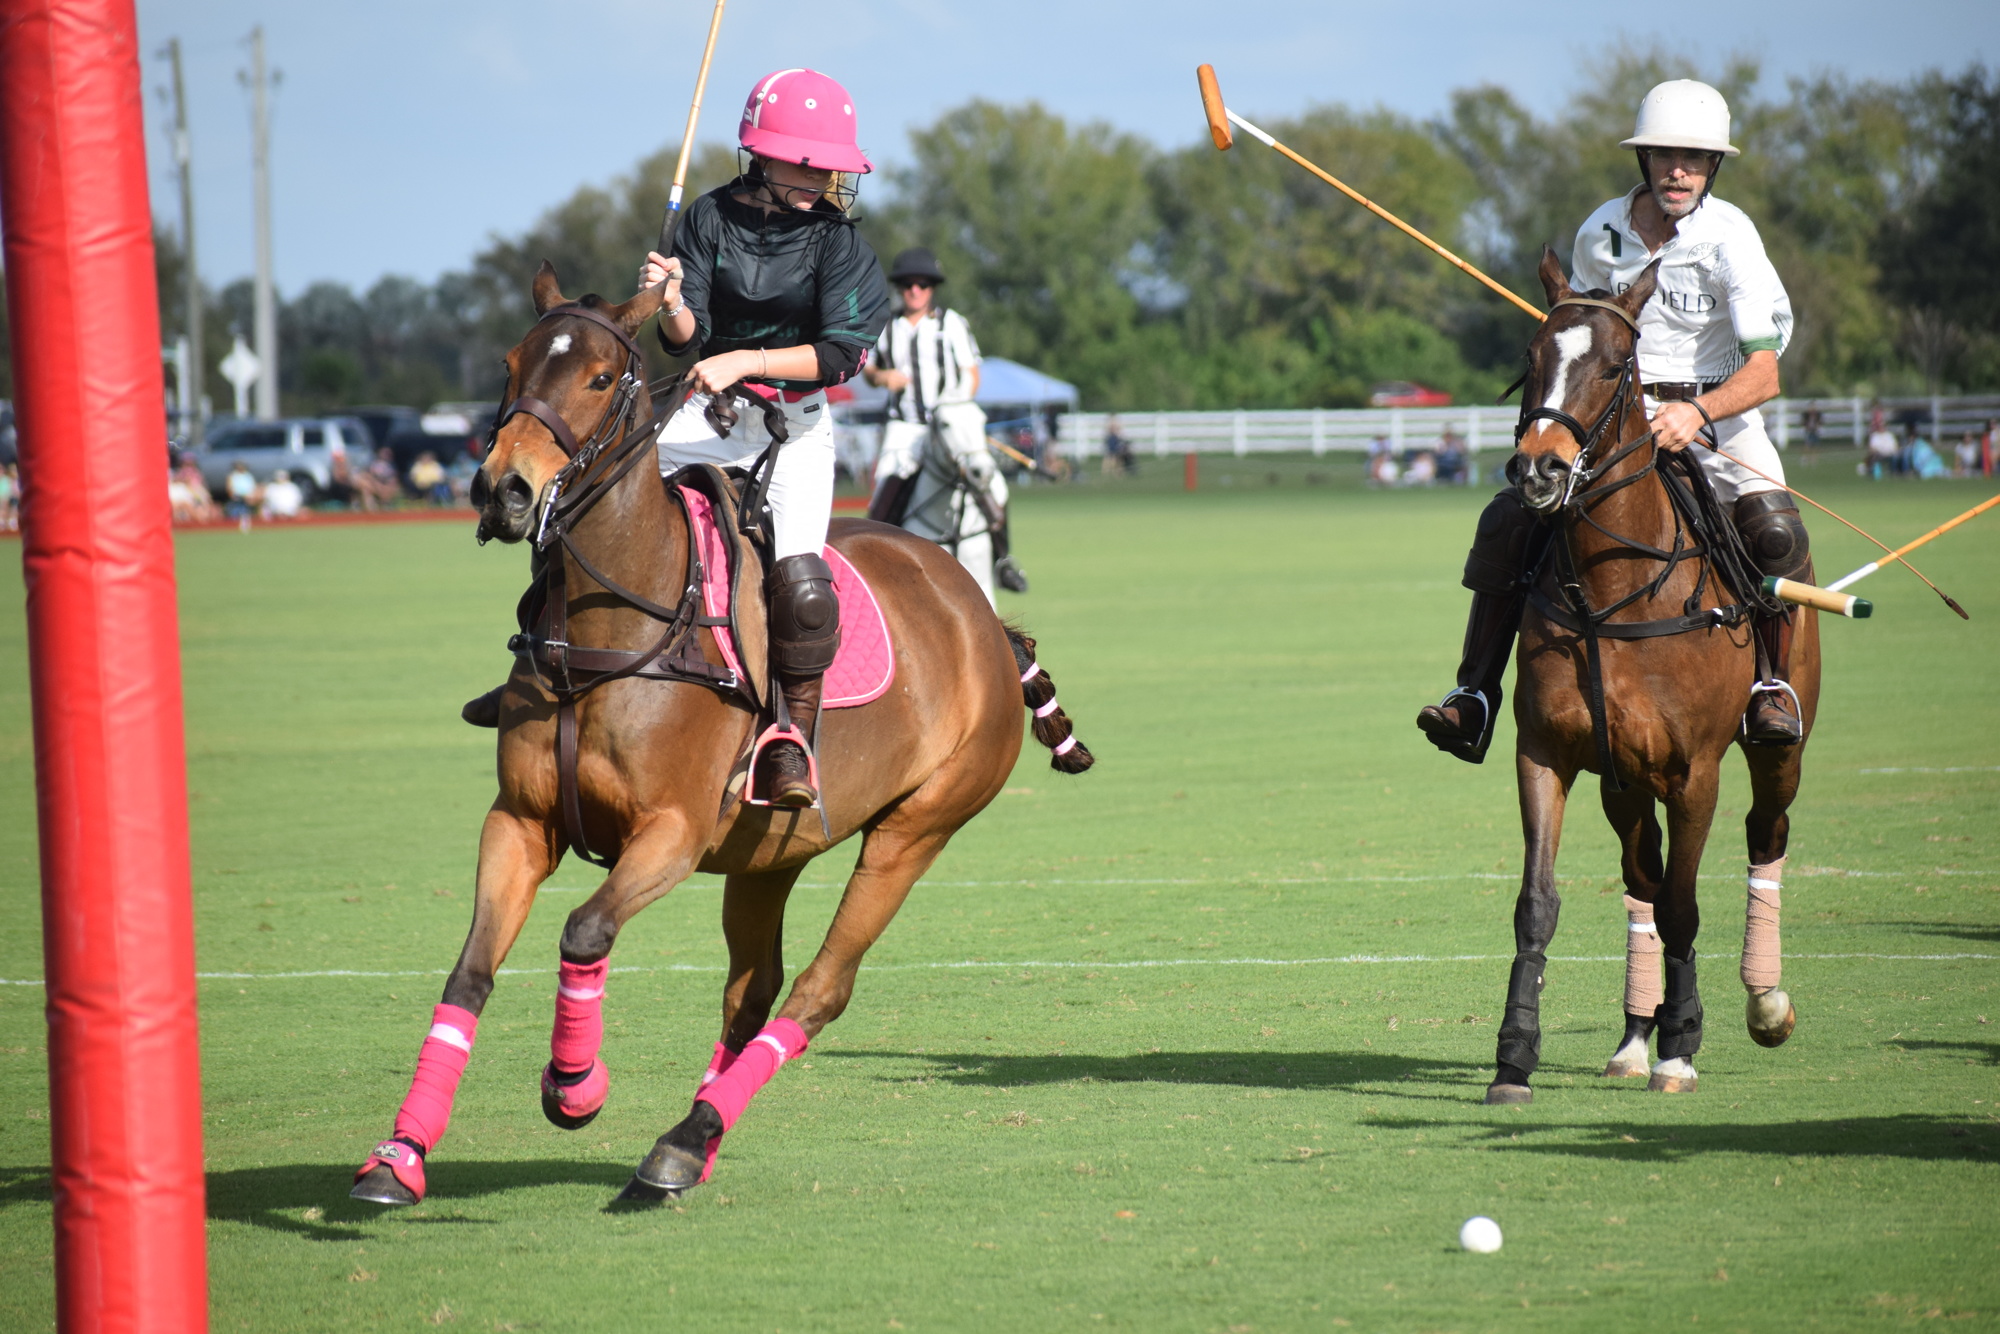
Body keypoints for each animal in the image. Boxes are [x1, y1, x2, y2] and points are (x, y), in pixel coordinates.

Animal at [348, 266, 1096, 1208]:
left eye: (600, 378)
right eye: (511, 364)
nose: (503, 490)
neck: (610, 625)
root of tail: (986, 622)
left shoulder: (671, 831)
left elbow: (584, 932)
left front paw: (575, 1086)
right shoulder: (518, 821)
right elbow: (469, 973)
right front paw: (399, 1157)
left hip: (918, 827)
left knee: (819, 988)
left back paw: (682, 1140)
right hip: (769, 850)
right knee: (753, 991)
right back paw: (686, 1148)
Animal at [1488, 250, 1832, 1104]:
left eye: (1617, 366)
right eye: (1532, 358)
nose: (1539, 469)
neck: (1613, 588)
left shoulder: (1694, 770)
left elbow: (1683, 904)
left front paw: (1681, 1047)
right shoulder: (1545, 755)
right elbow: (1538, 904)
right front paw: (1514, 1056)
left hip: (1780, 744)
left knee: (1765, 832)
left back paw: (1763, 1001)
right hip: (1623, 780)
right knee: (1638, 872)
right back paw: (1631, 1037)